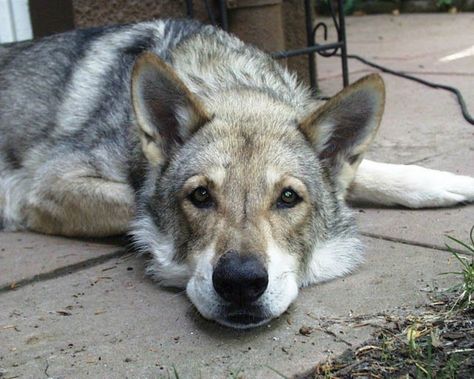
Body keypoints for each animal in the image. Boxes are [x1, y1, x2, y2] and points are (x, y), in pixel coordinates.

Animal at [0, 20, 474, 330]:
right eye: (200, 196)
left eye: (288, 197)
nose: (240, 283)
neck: (228, 82)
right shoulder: (43, 187)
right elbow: (137, 205)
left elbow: (368, 173)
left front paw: (448, 183)